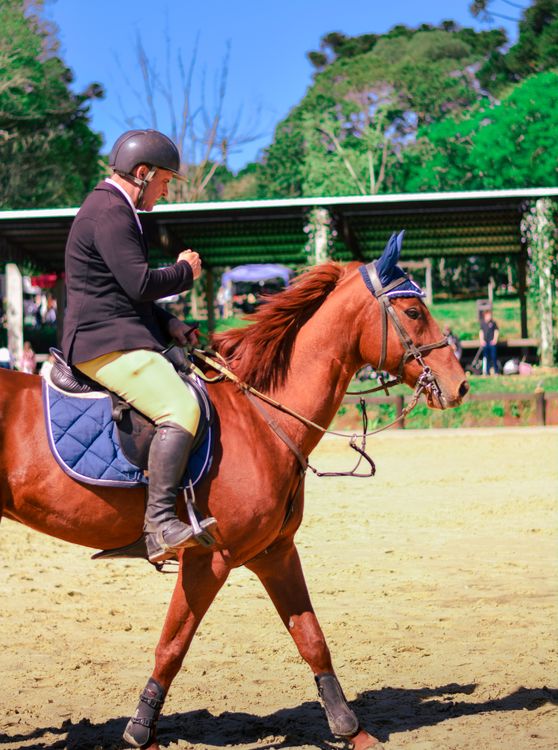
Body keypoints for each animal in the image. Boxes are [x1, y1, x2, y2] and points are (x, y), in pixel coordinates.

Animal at [0, 234, 468, 750]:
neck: (261, 416)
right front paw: (141, 731)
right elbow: (172, 645)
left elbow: (311, 638)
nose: (460, 385)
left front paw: (352, 729)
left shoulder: (275, 552)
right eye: (413, 313)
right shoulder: (209, 558)